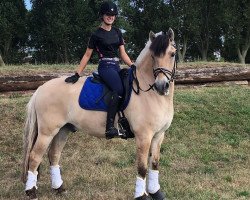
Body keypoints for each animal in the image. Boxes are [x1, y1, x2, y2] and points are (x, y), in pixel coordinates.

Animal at [22, 28, 178, 200]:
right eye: (153, 56)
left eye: (172, 54)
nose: (161, 86)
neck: (149, 94)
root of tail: (40, 89)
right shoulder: (143, 136)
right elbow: (142, 168)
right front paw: (141, 196)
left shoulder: (158, 135)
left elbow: (154, 164)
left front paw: (156, 192)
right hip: (47, 132)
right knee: (35, 157)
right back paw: (31, 191)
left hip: (63, 129)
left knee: (54, 155)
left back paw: (59, 188)